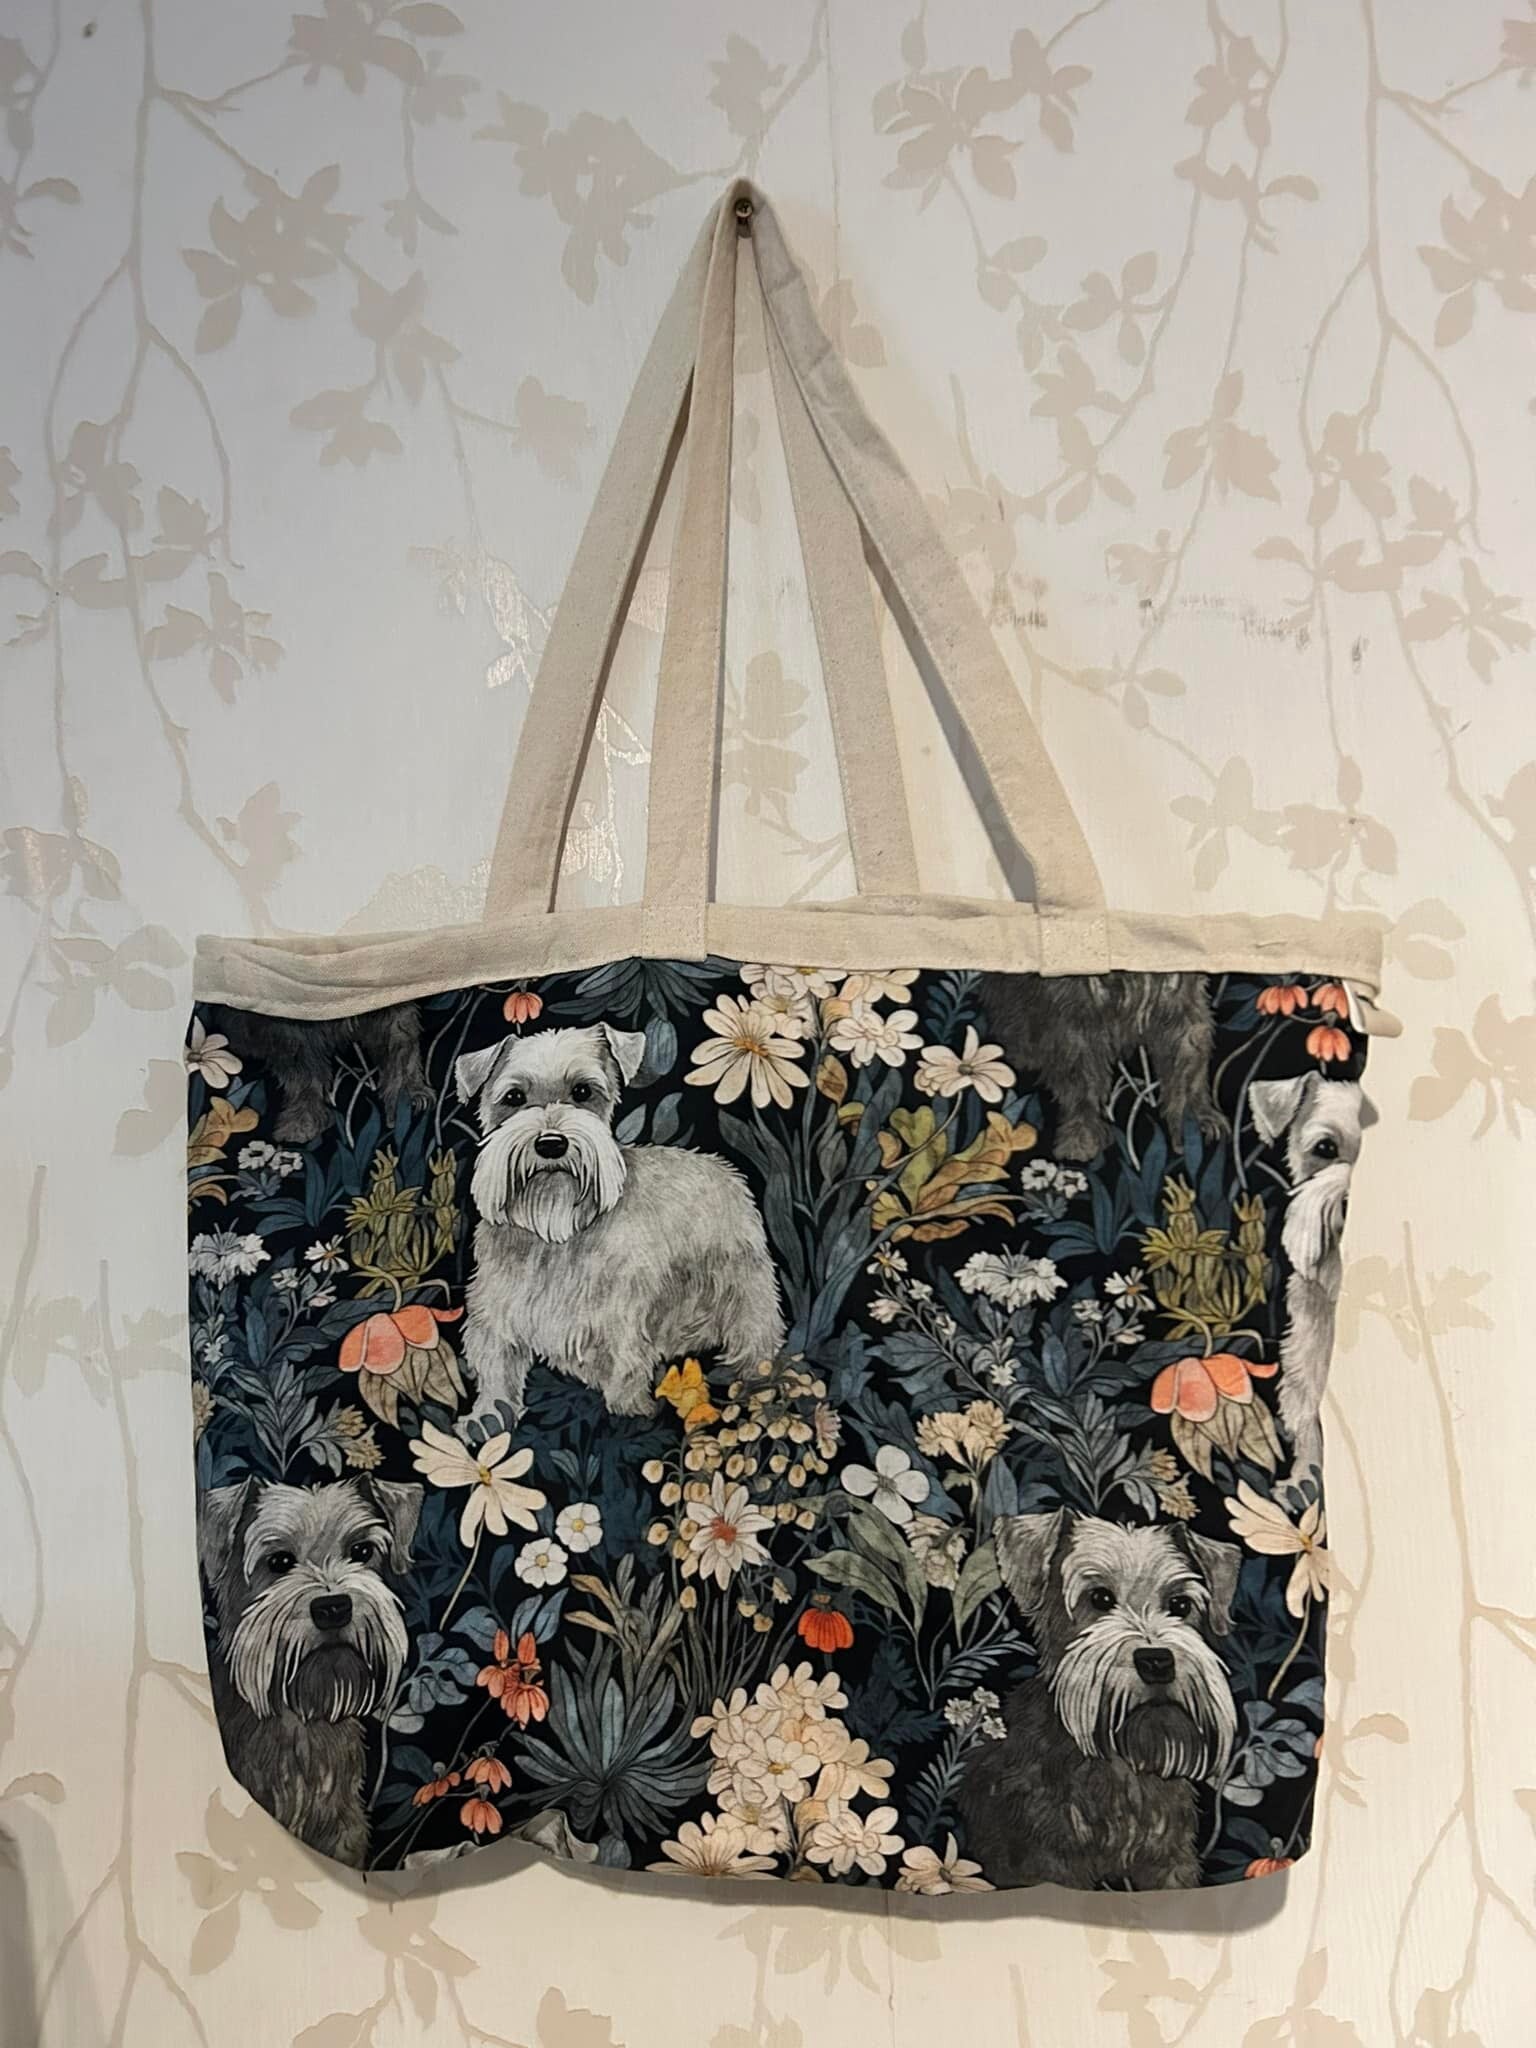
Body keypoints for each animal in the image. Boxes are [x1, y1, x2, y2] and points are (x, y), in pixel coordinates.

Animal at [455, 1023, 784, 1420]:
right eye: (514, 1097)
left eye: (582, 1091)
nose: (551, 1144)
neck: (556, 1234)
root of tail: (724, 1168)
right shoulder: (498, 1314)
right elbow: (496, 1372)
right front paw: (488, 1418)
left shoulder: (620, 1317)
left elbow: (626, 1365)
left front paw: (631, 1409)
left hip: (743, 1285)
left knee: (755, 1335)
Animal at [957, 1510, 1241, 1890]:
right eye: (1100, 1598)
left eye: (1180, 1604)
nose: (1157, 1661)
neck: (1119, 1763)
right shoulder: (1048, 1862)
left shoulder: (1170, 1860)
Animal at [978, 973, 1226, 1161]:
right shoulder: (1073, 1012)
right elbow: (1082, 1081)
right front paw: (1081, 1137)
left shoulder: (1180, 1000)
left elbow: (1189, 1062)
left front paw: (1197, 1116)